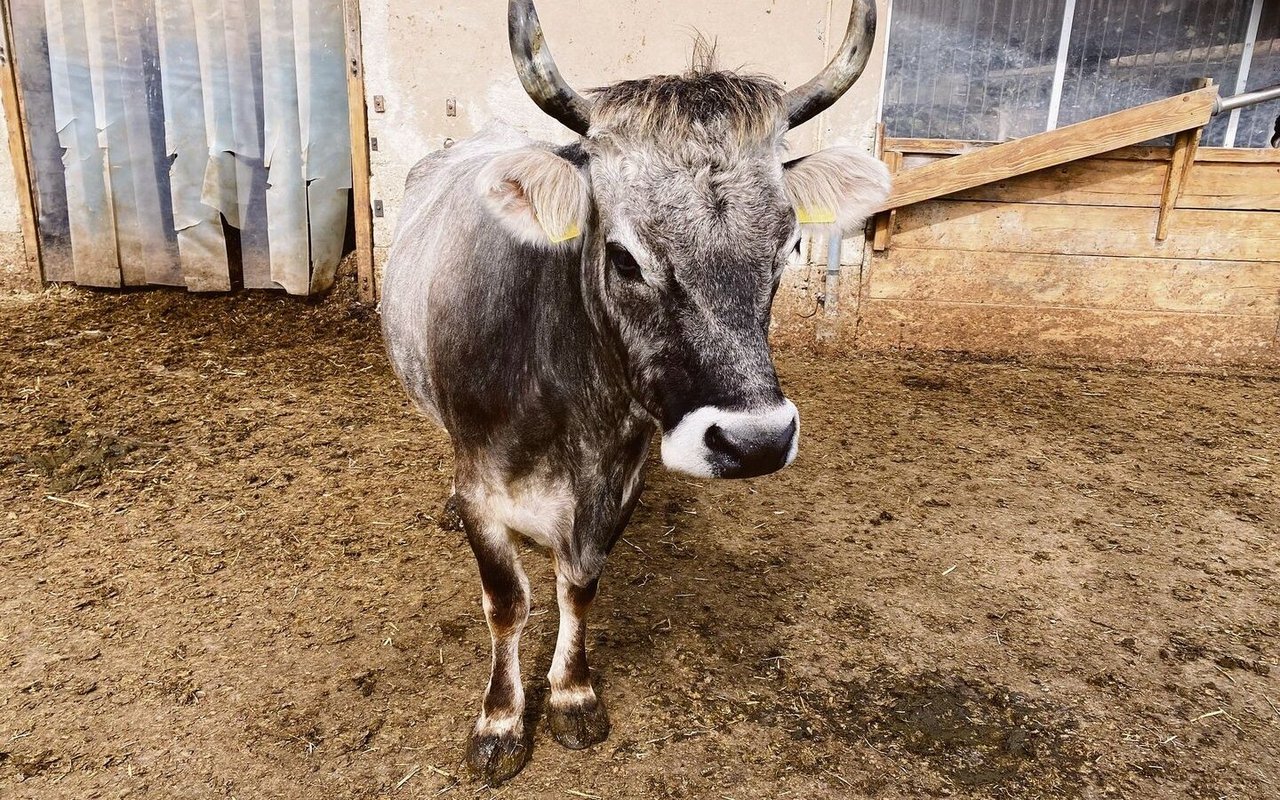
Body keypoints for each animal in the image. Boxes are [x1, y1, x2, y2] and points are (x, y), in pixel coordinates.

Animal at [378, 0, 890, 788]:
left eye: (789, 249)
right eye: (624, 258)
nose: (756, 442)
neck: (569, 404)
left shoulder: (620, 483)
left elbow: (579, 585)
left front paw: (572, 694)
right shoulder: (483, 493)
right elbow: (507, 604)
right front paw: (500, 721)